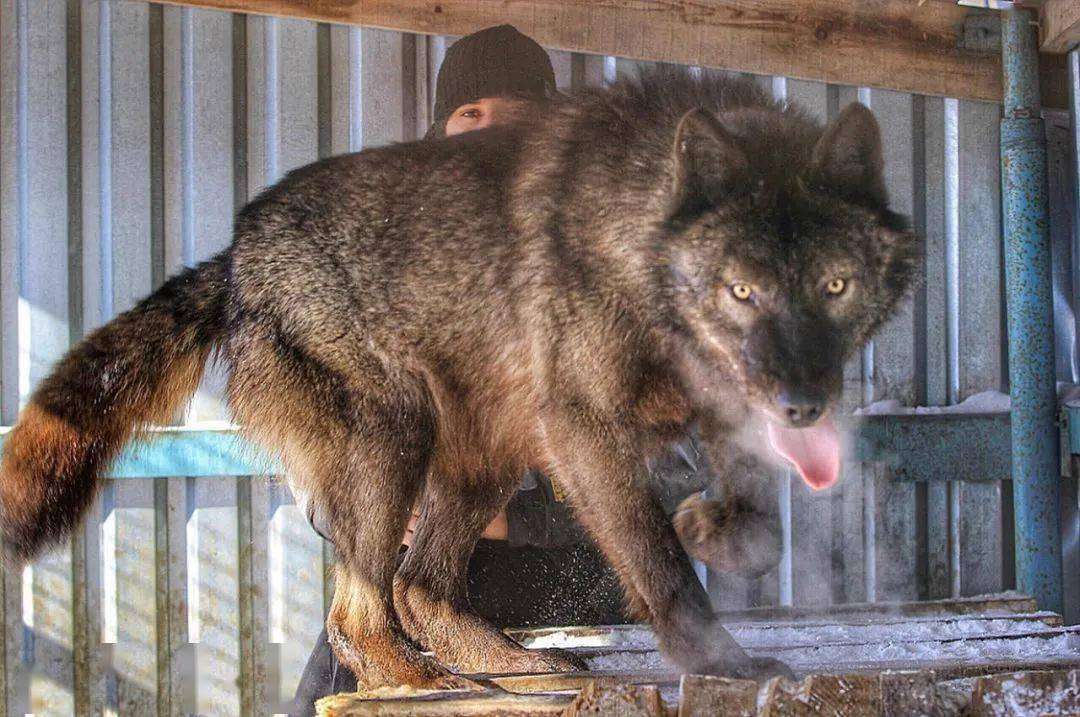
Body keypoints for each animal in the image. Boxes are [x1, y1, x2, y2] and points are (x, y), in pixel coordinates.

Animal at [0, 71, 915, 691]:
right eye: (742, 292)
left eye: (834, 286)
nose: (803, 404)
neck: (639, 230)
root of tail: (235, 255)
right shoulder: (583, 425)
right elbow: (661, 568)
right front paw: (722, 660)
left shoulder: (721, 413)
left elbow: (754, 527)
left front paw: (714, 526)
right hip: (398, 441)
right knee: (360, 610)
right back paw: (424, 681)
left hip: (480, 459)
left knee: (418, 587)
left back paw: (514, 667)